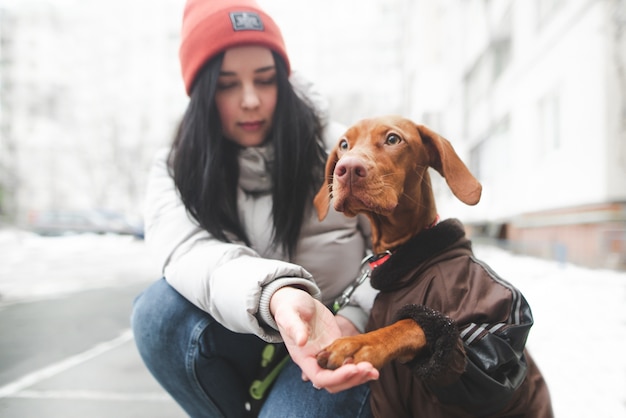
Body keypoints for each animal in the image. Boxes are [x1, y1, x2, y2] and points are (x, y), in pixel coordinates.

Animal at [314, 116, 548, 416]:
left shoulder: (500, 343)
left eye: (393, 139)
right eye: (344, 144)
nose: (347, 169)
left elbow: (415, 324)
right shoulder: (387, 402)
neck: (408, 259)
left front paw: (362, 344)